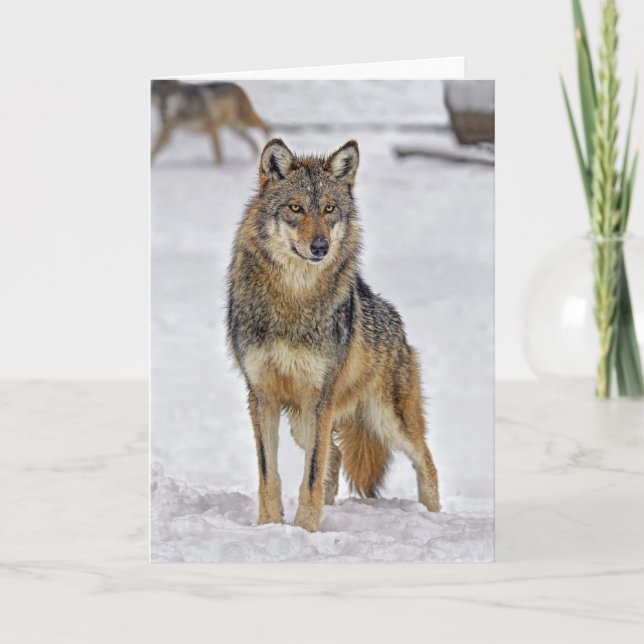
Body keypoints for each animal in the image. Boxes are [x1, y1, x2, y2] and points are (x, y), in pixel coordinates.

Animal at [226, 139, 440, 532]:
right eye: (296, 208)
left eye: (329, 209)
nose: (320, 247)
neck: (293, 301)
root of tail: (396, 323)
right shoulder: (261, 396)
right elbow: (269, 475)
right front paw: (269, 527)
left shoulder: (319, 399)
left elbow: (310, 474)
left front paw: (305, 531)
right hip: (303, 423)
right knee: (336, 453)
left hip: (386, 421)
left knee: (426, 461)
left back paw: (434, 517)